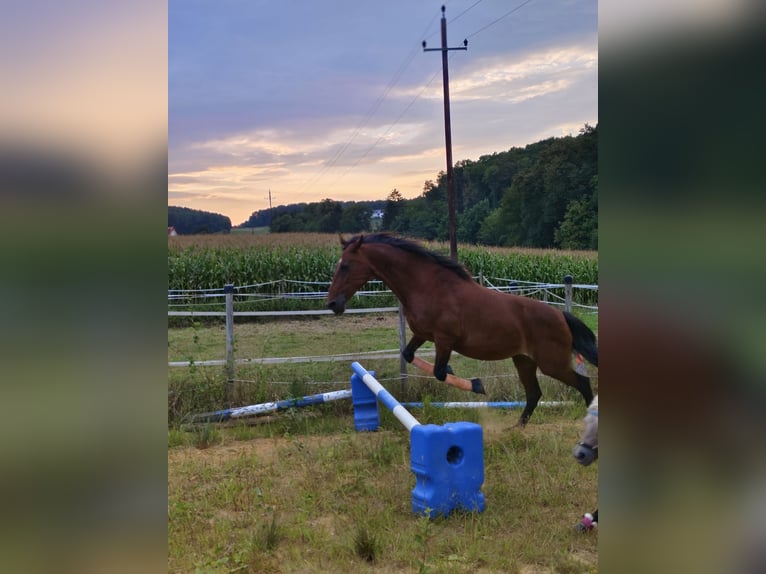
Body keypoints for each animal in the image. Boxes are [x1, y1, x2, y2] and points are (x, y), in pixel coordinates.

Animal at [326, 233, 598, 425]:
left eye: (346, 265)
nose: (332, 304)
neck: (428, 287)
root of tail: (561, 315)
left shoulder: (444, 340)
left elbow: (438, 372)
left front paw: (476, 385)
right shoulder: (422, 334)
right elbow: (409, 355)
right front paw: (461, 375)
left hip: (552, 364)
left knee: (583, 384)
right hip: (524, 361)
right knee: (534, 394)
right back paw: (515, 429)